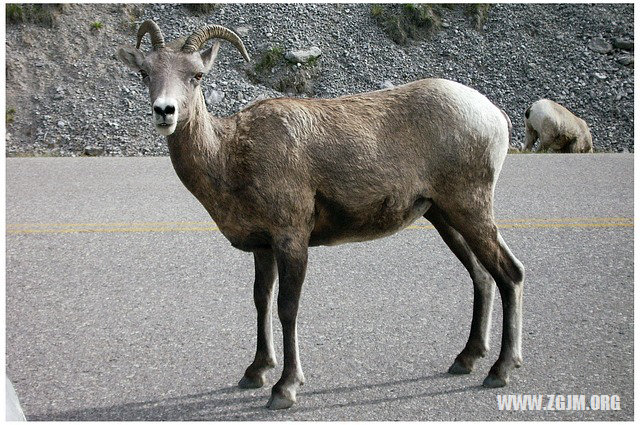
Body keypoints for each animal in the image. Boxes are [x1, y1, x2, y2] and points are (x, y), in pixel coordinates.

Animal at [116, 21, 524, 410]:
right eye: (145, 73)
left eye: (196, 75)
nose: (165, 111)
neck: (231, 156)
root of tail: (495, 116)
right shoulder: (263, 248)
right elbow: (261, 301)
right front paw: (255, 372)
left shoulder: (292, 238)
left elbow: (287, 308)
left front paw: (285, 388)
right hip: (444, 216)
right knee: (482, 276)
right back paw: (466, 359)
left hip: (470, 208)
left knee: (510, 273)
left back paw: (500, 370)